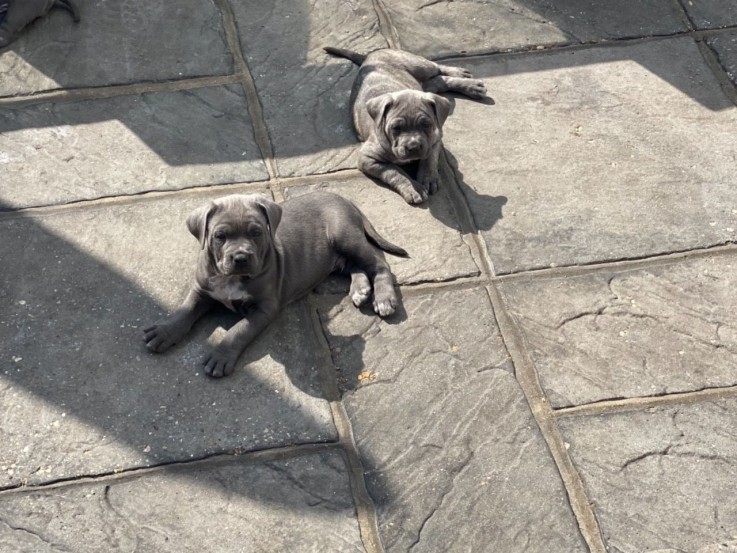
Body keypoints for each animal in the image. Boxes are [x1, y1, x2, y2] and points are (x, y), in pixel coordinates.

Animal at [142, 192, 408, 378]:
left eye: (256, 233)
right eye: (220, 236)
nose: (241, 257)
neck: (231, 279)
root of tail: (344, 199)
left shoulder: (264, 308)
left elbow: (238, 330)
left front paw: (220, 356)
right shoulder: (202, 290)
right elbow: (184, 310)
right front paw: (165, 331)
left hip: (345, 236)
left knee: (378, 263)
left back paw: (384, 298)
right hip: (337, 253)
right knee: (355, 266)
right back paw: (360, 290)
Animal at [324, 48, 486, 205]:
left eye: (426, 125)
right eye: (396, 128)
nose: (413, 146)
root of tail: (369, 56)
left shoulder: (434, 140)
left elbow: (429, 160)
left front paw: (428, 178)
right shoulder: (367, 159)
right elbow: (394, 171)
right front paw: (413, 188)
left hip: (418, 65)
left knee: (437, 69)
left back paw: (467, 81)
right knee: (436, 82)